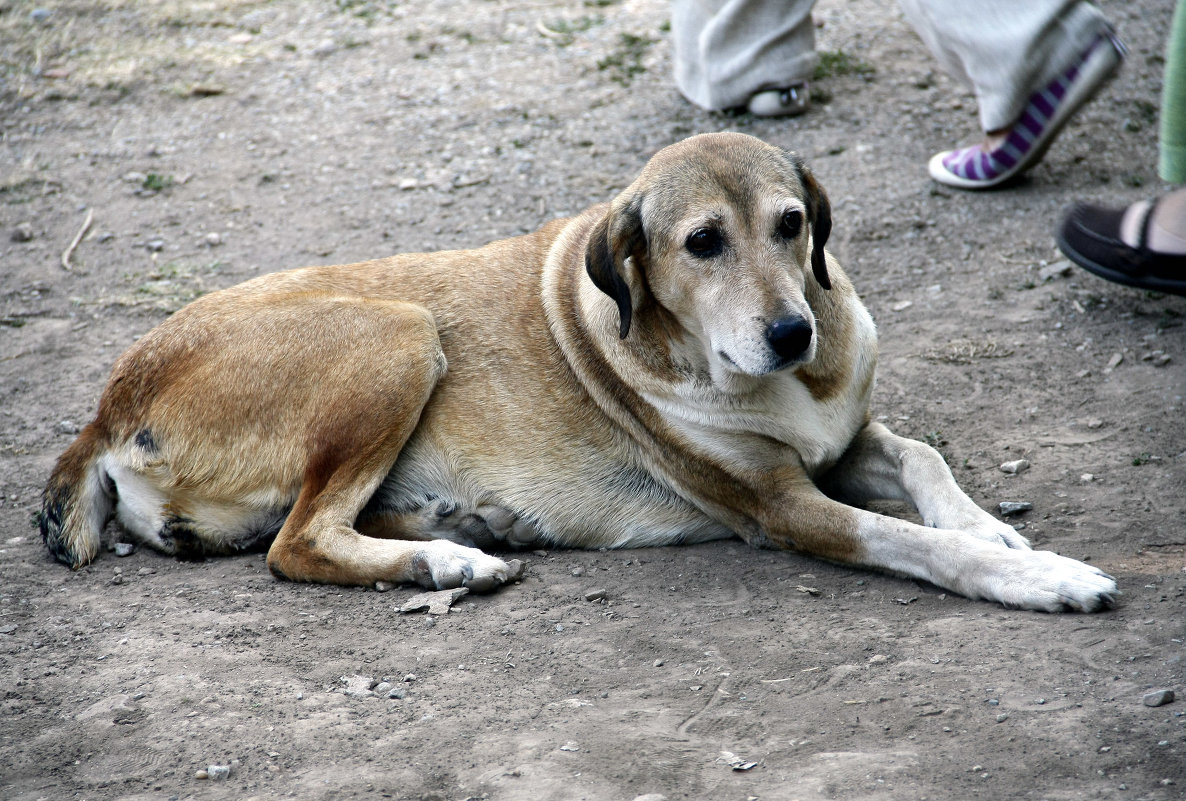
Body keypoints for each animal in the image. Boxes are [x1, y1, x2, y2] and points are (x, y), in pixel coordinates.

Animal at [37, 131, 1110, 612]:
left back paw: (465, 526)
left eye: (792, 223)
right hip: (399, 332)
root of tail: (106, 406)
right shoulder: (783, 504)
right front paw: (1043, 574)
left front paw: (989, 526)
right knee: (297, 542)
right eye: (702, 242)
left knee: (312, 523)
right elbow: (916, 543)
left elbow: (925, 456)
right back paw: (452, 559)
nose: (792, 332)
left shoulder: (843, 440)